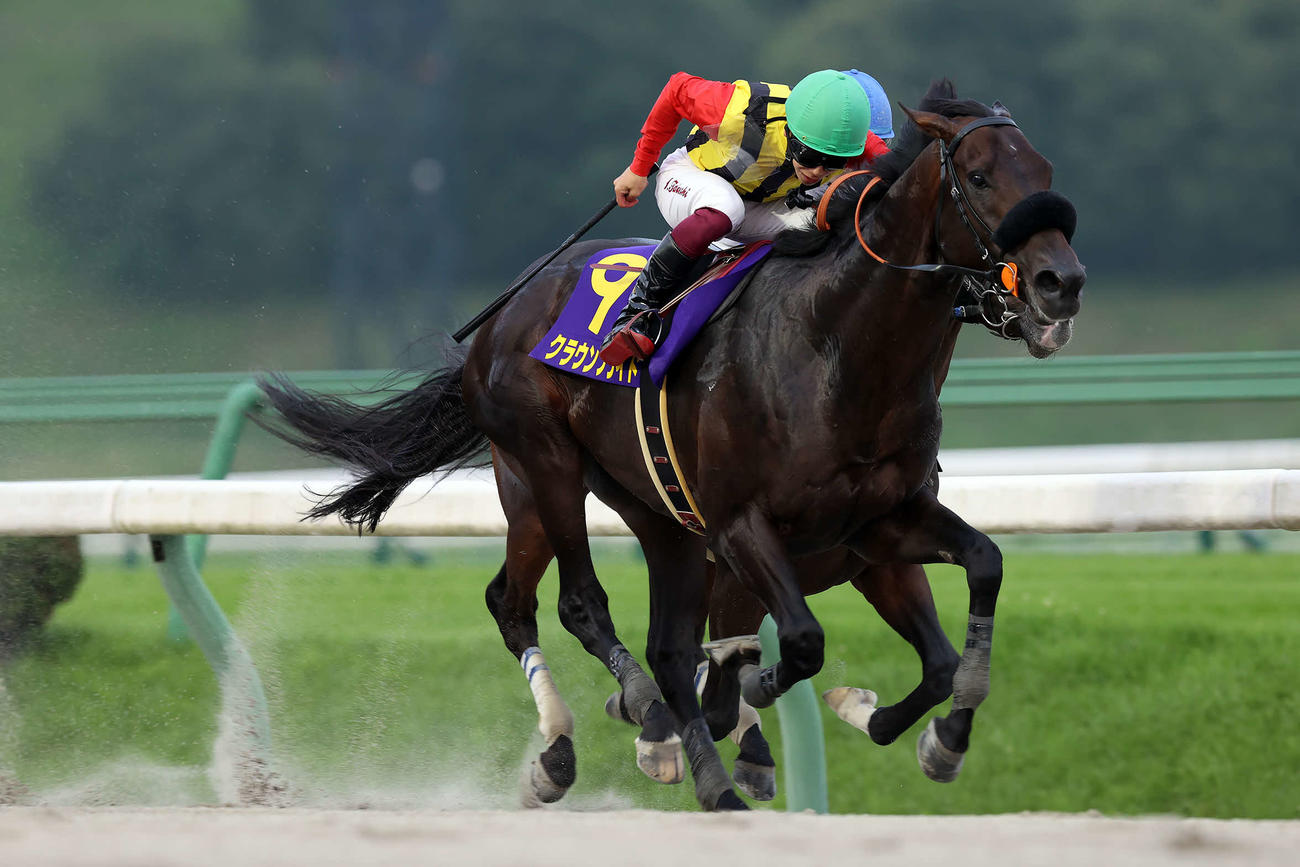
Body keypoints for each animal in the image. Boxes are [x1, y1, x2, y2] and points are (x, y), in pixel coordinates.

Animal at [256, 78, 1085, 811]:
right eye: (980, 176)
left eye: (1046, 173)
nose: (1061, 283)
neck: (836, 351)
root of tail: (503, 314)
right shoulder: (743, 527)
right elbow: (799, 642)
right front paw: (751, 695)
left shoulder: (878, 527)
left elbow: (970, 597)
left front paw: (923, 732)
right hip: (546, 466)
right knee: (579, 603)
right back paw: (636, 727)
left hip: (638, 511)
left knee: (552, 612)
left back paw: (640, 753)